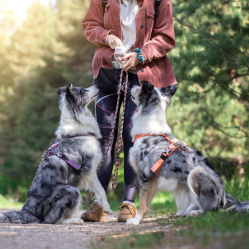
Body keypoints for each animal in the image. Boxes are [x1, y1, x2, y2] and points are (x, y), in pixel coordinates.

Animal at [0, 84, 111, 225]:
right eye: (83, 91)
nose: (97, 84)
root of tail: (28, 210)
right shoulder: (89, 170)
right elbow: (101, 190)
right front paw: (107, 208)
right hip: (71, 190)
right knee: (51, 220)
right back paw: (74, 220)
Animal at [126, 80, 249, 225]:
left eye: (140, 88)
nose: (132, 86)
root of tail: (225, 198)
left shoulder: (145, 177)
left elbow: (143, 203)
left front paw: (135, 220)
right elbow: (146, 201)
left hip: (195, 173)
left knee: (211, 209)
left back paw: (195, 212)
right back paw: (182, 212)